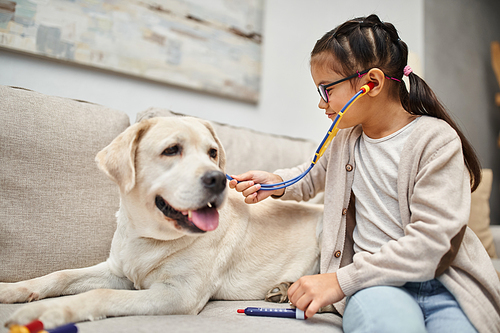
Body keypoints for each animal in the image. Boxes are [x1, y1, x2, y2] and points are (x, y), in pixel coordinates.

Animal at [0, 116, 322, 326]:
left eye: (212, 153)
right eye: (171, 150)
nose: (218, 179)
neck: (150, 238)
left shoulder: (178, 294)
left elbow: (101, 294)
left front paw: (53, 312)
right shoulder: (116, 270)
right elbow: (61, 275)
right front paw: (12, 289)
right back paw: (284, 291)